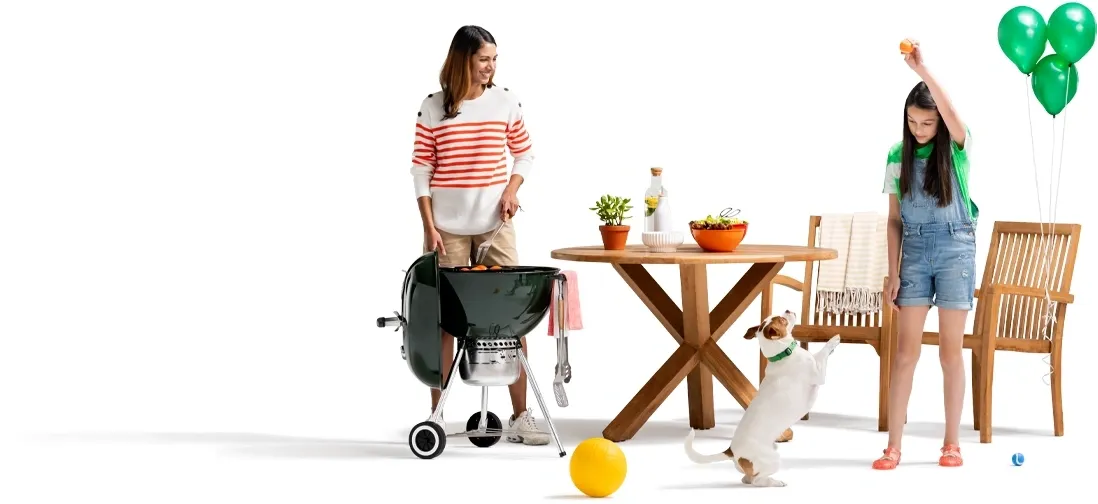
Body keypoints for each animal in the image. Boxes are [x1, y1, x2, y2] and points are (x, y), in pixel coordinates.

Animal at [685, 309, 838, 487]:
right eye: (782, 320)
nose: (787, 310)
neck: (782, 355)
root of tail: (732, 451)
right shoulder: (818, 374)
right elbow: (822, 353)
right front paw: (834, 339)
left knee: (747, 479)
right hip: (772, 460)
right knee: (757, 481)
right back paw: (776, 482)